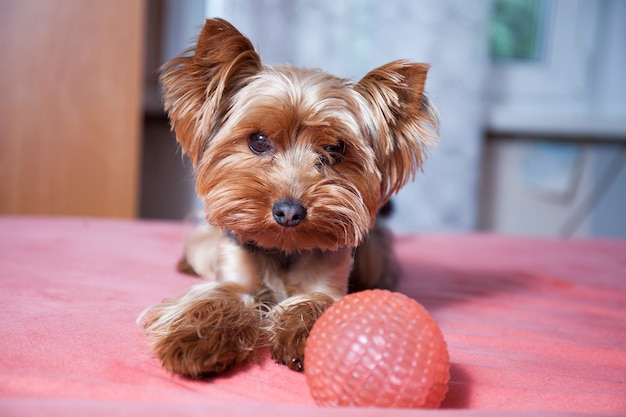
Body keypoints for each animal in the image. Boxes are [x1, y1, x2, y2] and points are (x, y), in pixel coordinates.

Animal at [138, 18, 436, 376]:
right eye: (258, 141)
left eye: (335, 149)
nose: (289, 212)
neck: (284, 248)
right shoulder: (236, 278)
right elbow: (219, 297)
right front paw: (195, 340)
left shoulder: (328, 284)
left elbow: (319, 305)